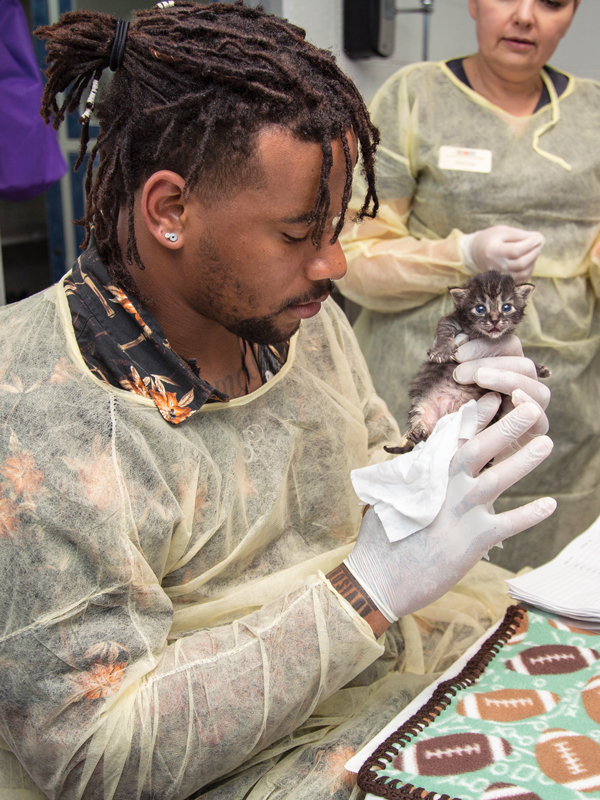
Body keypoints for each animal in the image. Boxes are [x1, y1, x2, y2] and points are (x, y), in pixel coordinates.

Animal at [386, 270, 552, 454]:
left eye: (507, 307)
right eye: (480, 309)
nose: (494, 320)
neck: (483, 336)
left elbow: (522, 359)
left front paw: (539, 369)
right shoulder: (450, 320)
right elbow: (444, 331)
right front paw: (442, 351)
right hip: (421, 403)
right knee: (419, 420)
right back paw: (418, 432)